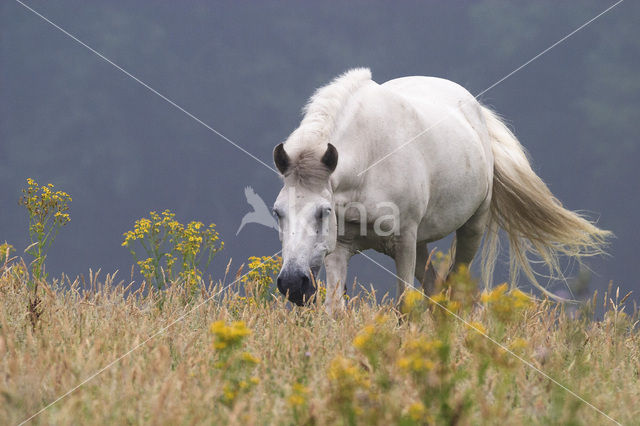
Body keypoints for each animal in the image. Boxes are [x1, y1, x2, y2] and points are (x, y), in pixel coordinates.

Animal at [272, 69, 608, 310]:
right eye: (278, 213)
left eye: (323, 211)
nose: (292, 284)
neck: (370, 159)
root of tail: (475, 108)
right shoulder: (339, 247)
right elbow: (335, 310)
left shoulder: (403, 243)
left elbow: (405, 308)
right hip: (421, 244)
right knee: (435, 289)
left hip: (470, 230)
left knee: (454, 289)